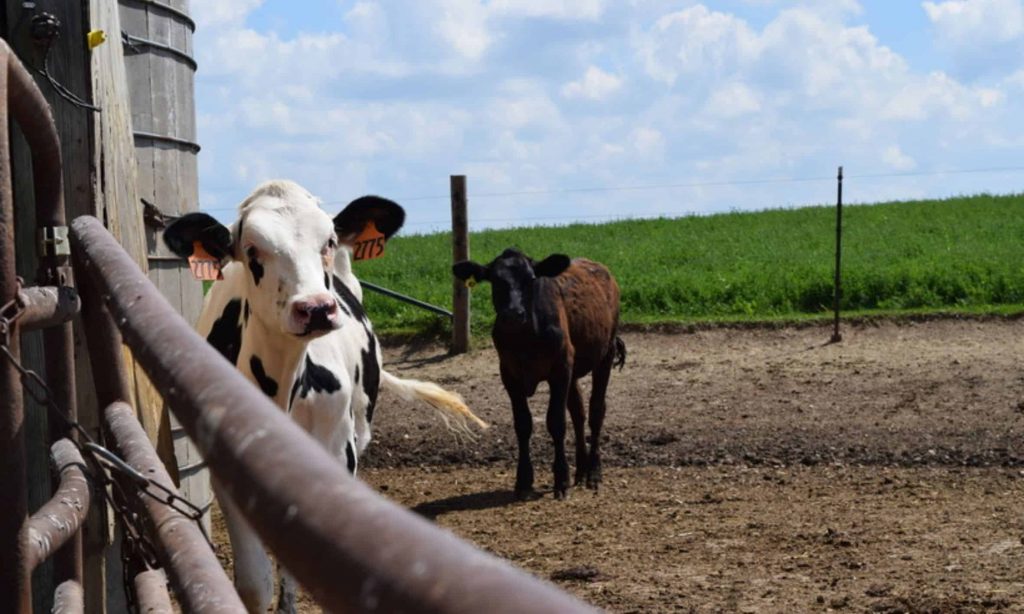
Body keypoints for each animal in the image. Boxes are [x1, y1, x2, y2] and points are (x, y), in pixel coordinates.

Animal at [165, 181, 485, 614]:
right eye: (252, 250)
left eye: (329, 241)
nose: (315, 308)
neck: (280, 389)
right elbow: (254, 583)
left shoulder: (334, 457)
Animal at [456, 249, 622, 499]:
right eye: (495, 280)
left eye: (531, 279)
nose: (513, 314)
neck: (526, 339)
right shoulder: (509, 375)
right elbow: (523, 424)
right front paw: (523, 480)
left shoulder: (560, 370)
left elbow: (556, 422)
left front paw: (561, 479)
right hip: (574, 369)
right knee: (578, 412)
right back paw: (581, 470)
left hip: (605, 354)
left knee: (596, 411)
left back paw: (593, 472)